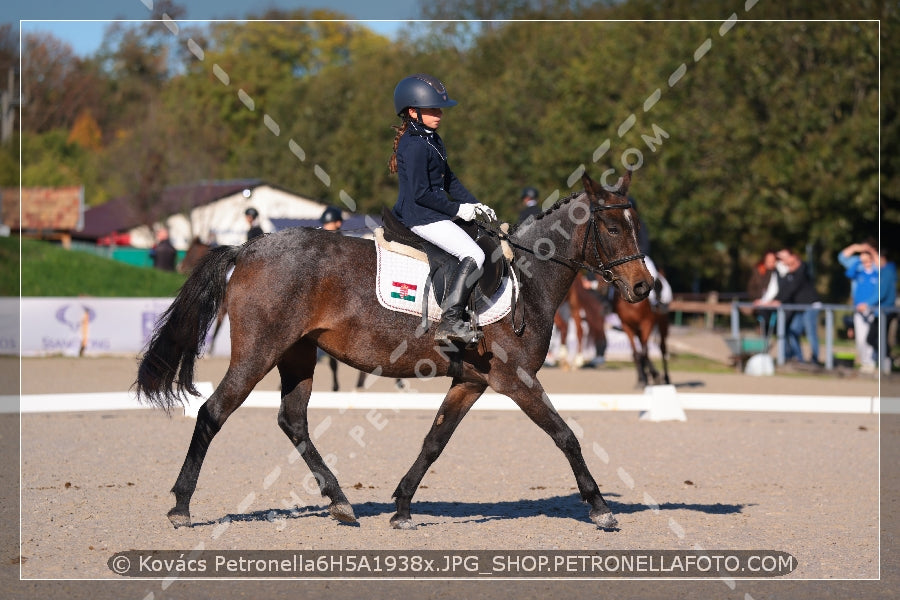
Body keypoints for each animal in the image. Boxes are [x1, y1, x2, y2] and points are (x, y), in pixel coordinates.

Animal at [135, 169, 652, 528]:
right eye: (611, 229)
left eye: (635, 224)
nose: (644, 287)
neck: (527, 277)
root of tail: (248, 248)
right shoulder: (517, 380)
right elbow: (565, 435)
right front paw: (600, 507)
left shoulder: (471, 381)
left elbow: (434, 442)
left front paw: (402, 506)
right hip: (259, 352)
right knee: (213, 412)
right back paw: (181, 506)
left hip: (297, 354)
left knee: (292, 420)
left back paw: (341, 502)